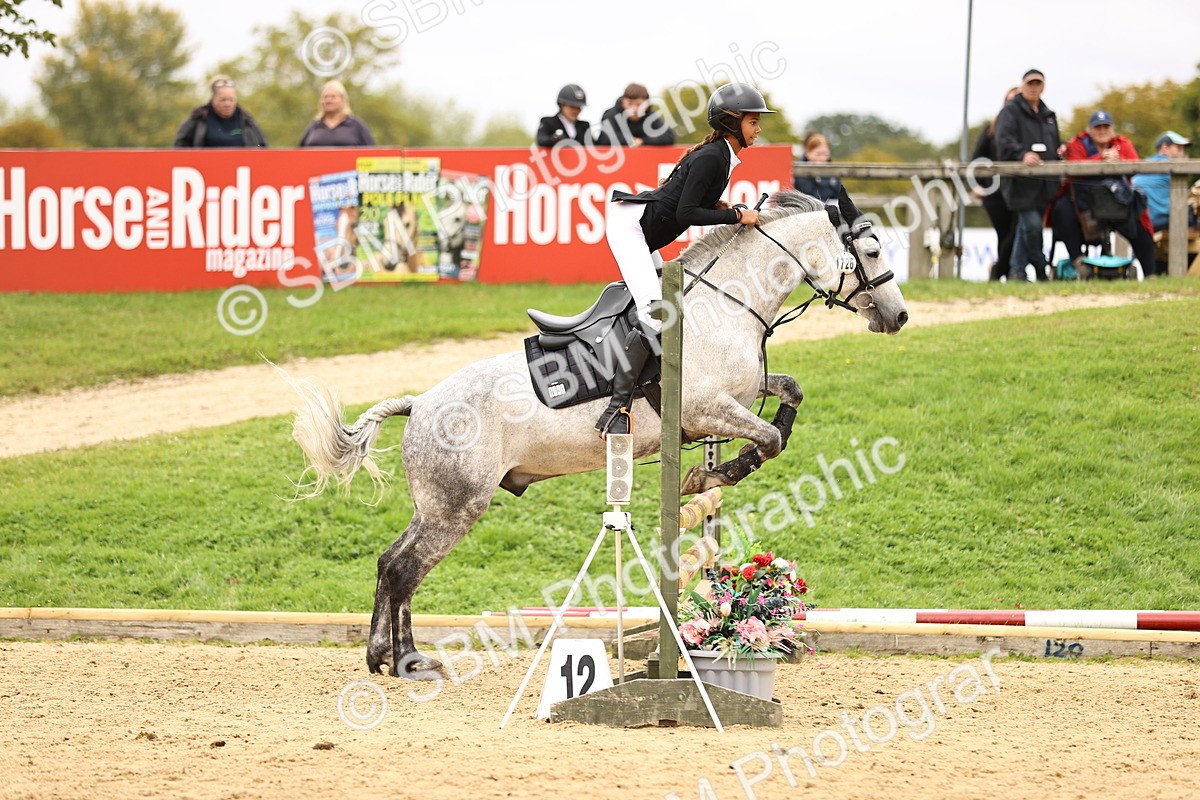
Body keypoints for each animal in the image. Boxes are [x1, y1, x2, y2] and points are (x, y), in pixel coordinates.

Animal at [282, 190, 908, 678]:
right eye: (873, 250)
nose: (898, 317)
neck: (729, 302)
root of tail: (419, 405)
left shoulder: (737, 394)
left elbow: (789, 394)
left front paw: (722, 467)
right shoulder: (706, 408)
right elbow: (767, 443)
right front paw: (712, 474)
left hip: (436, 506)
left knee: (391, 563)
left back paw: (383, 657)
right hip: (457, 506)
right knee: (404, 569)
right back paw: (407, 662)